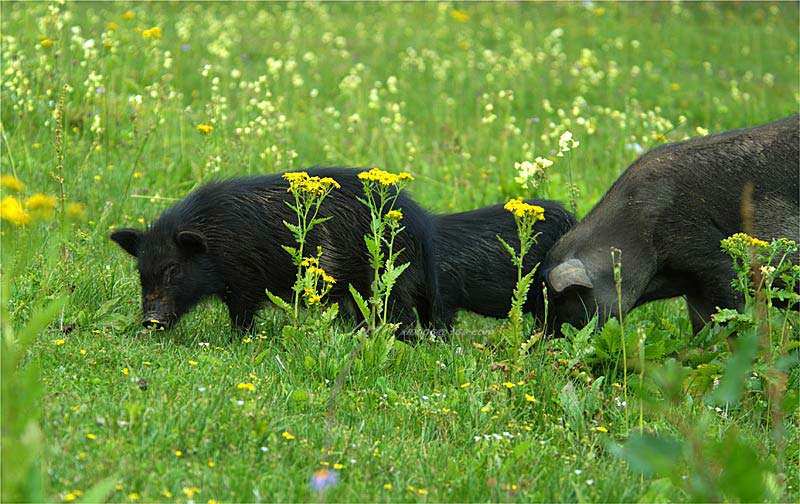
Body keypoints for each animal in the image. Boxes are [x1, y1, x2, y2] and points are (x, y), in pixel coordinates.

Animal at [109, 169, 438, 334]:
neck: (215, 242)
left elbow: (242, 315)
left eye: (174, 269)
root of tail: (421, 224)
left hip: (386, 278)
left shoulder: (245, 281)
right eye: (141, 271)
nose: (151, 320)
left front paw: (240, 339)